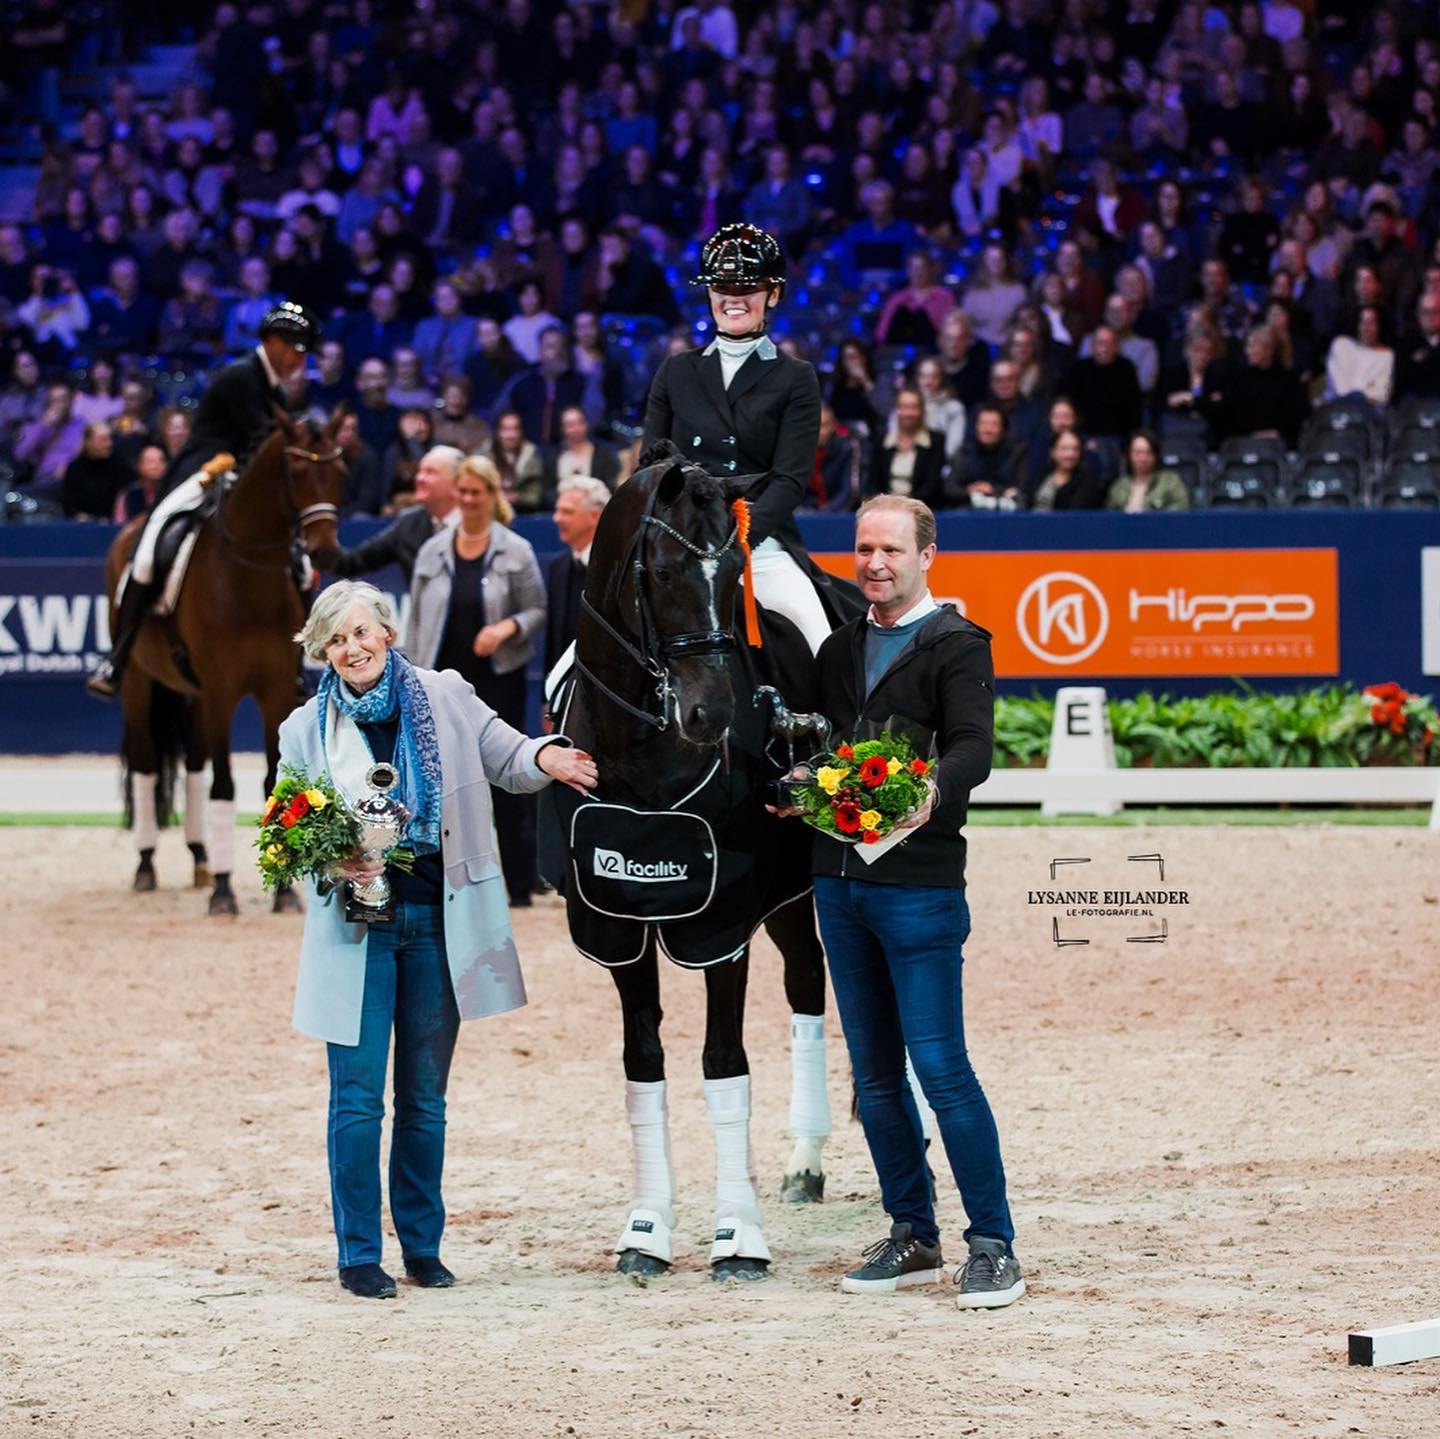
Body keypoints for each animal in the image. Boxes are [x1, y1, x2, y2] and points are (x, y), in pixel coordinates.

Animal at [103, 409, 345, 916]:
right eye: (296, 471)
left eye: (340, 471)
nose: (326, 551)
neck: (247, 572)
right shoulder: (221, 690)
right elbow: (225, 787)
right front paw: (223, 891)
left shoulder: (275, 690)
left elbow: (273, 782)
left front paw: (283, 891)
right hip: (138, 681)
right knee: (146, 763)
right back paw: (147, 866)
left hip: (193, 693)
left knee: (194, 762)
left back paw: (199, 856)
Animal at [553, 444, 836, 1282]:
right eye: (664, 571)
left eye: (731, 572)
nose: (710, 714)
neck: (644, 745)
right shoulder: (616, 923)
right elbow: (643, 1063)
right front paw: (645, 1229)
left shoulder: (721, 920)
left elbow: (723, 1064)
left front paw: (738, 1237)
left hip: (794, 891)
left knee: (808, 985)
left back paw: (806, 1162)